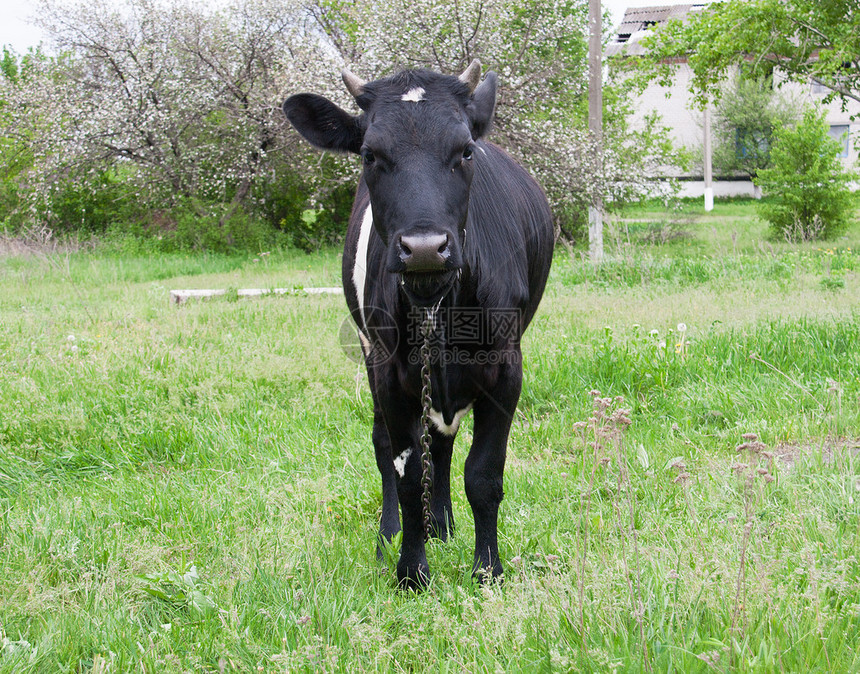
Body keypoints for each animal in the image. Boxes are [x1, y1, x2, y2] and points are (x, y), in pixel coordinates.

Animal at [282, 61, 552, 588]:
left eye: (465, 150)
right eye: (370, 154)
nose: (425, 248)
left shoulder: (506, 369)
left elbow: (483, 474)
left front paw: (487, 569)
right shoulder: (390, 372)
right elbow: (406, 472)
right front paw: (411, 571)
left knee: (442, 444)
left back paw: (442, 526)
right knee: (388, 444)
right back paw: (394, 534)